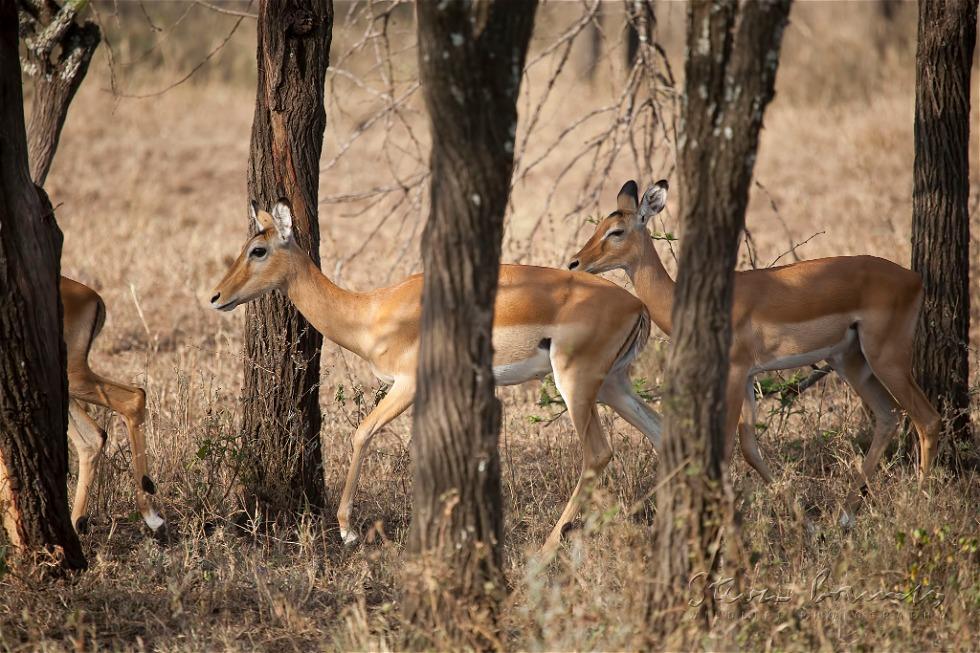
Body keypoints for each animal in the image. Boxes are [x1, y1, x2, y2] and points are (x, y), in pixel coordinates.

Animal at [210, 199, 663, 552]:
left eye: (258, 250)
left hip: (577, 383)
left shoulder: (408, 384)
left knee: (598, 453)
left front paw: (348, 531)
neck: (372, 311)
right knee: (659, 431)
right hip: (613, 386)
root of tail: (637, 305)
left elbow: (362, 433)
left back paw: (550, 545)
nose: (216, 296)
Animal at [567, 180, 940, 527]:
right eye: (599, 226)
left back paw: (918, 508)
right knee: (889, 416)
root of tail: (914, 278)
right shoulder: (747, 377)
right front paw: (806, 525)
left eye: (616, 230)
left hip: (887, 358)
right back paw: (844, 516)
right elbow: (750, 450)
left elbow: (726, 450)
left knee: (927, 418)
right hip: (850, 361)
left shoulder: (733, 373)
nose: (575, 262)